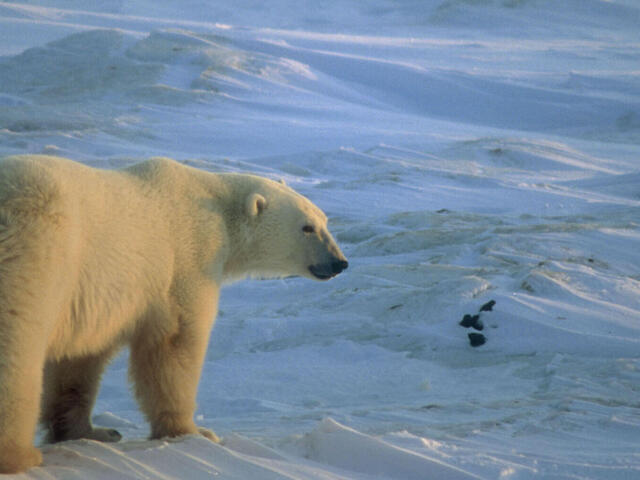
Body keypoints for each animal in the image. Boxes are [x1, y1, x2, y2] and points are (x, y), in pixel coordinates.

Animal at [0, 155, 344, 472]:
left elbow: (81, 357)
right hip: (40, 248)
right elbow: (174, 344)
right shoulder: (186, 260)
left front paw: (93, 431)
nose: (339, 262)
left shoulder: (99, 294)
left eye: (325, 221)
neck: (218, 210)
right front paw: (194, 432)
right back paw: (19, 455)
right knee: (18, 342)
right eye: (307, 227)